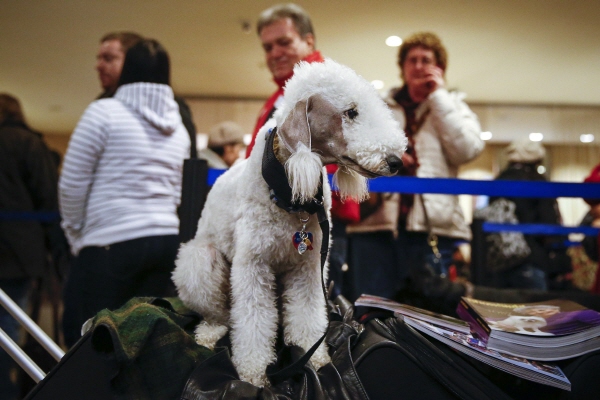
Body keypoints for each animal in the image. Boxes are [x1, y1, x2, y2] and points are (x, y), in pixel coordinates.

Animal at [173, 58, 408, 384]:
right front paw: (253, 374)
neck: (290, 195)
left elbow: (306, 316)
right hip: (201, 262)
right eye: (351, 112)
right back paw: (209, 335)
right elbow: (253, 321)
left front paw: (315, 359)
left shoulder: (307, 268)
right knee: (218, 314)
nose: (397, 162)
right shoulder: (254, 265)